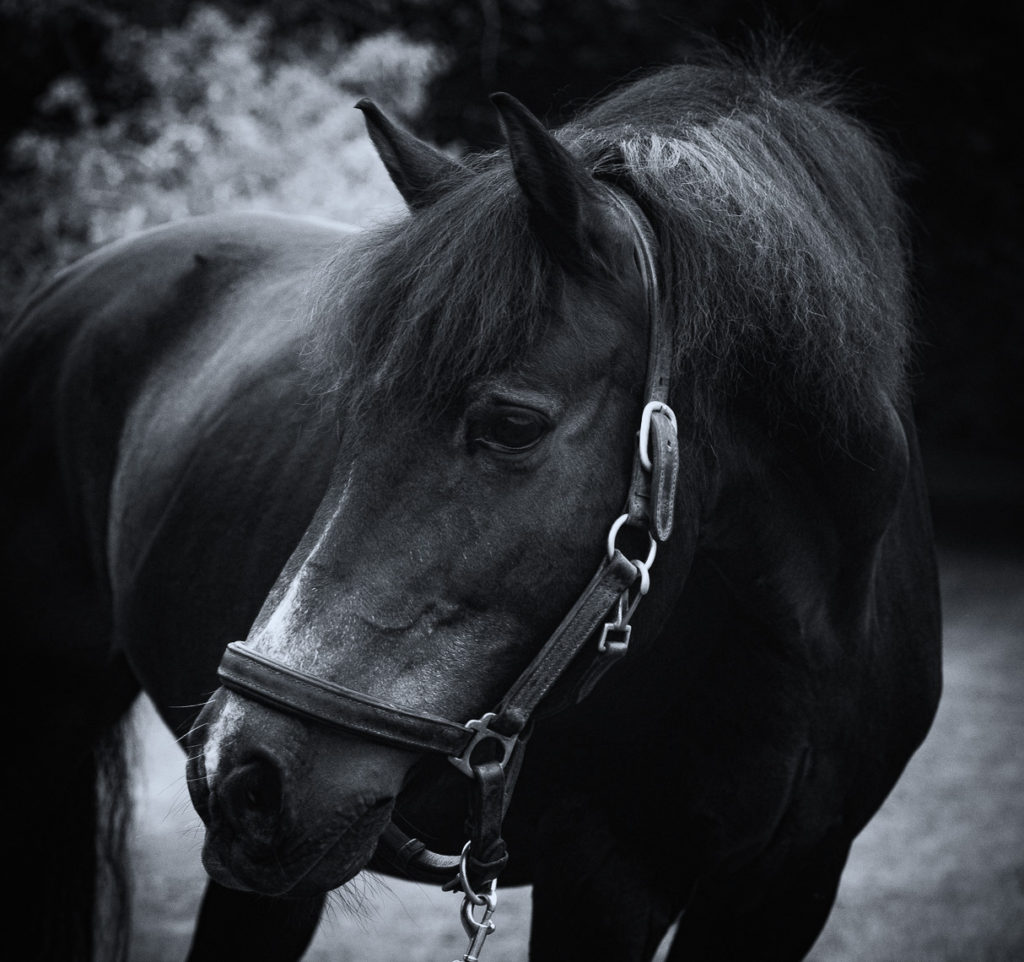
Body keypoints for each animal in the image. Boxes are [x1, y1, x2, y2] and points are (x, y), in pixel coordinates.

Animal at [2, 54, 942, 962]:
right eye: (349, 414)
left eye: (511, 426)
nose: (243, 771)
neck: (804, 645)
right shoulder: (605, 884)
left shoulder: (789, 889)